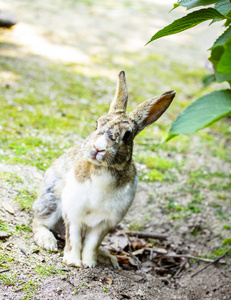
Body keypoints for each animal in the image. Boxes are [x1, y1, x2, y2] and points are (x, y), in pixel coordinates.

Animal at [32, 70, 175, 268]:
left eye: (127, 135)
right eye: (97, 123)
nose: (98, 148)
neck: (103, 170)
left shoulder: (105, 223)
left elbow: (92, 243)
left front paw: (89, 262)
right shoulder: (73, 212)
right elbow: (73, 238)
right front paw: (73, 261)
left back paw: (107, 257)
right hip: (51, 199)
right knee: (39, 222)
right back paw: (47, 241)